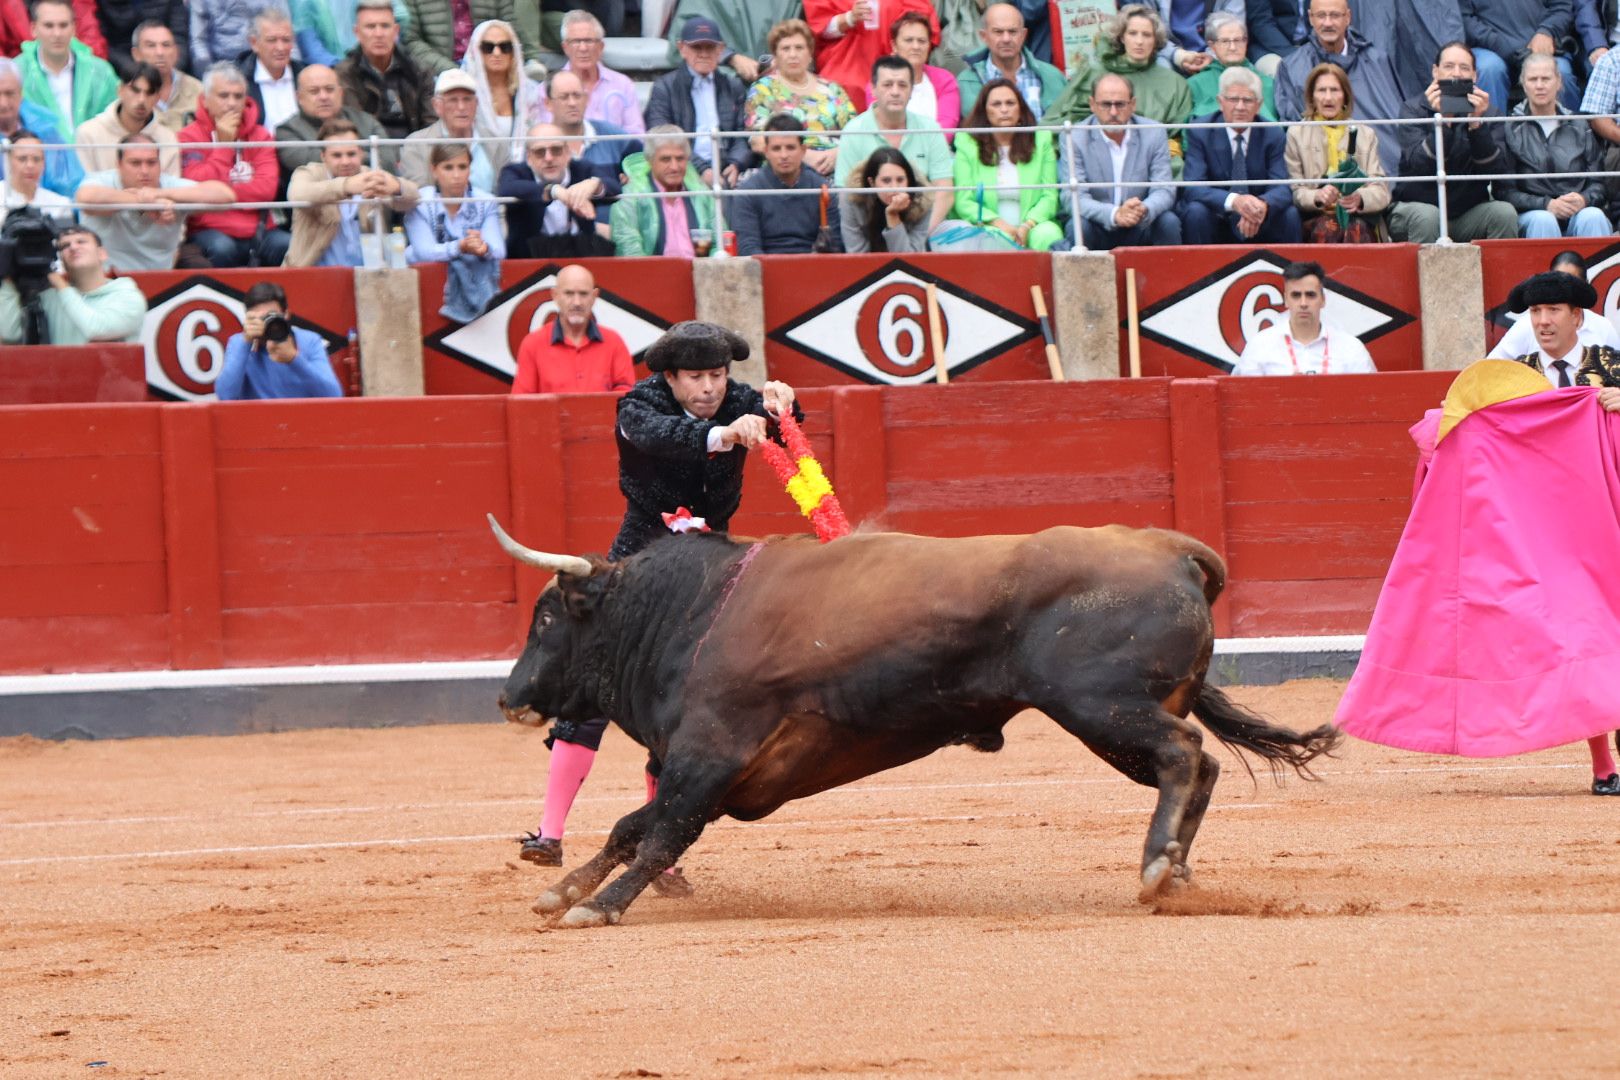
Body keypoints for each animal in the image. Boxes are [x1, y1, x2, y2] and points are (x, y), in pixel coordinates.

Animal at [486, 514, 1334, 932]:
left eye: (548, 616)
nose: (508, 695)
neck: (691, 615)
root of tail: (1173, 549)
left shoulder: (710, 753)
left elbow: (662, 831)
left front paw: (597, 906)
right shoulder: (715, 769)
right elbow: (633, 824)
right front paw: (561, 891)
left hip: (1101, 709)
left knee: (1184, 756)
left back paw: (1158, 865)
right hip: (1123, 715)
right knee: (1199, 763)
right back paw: (1179, 874)